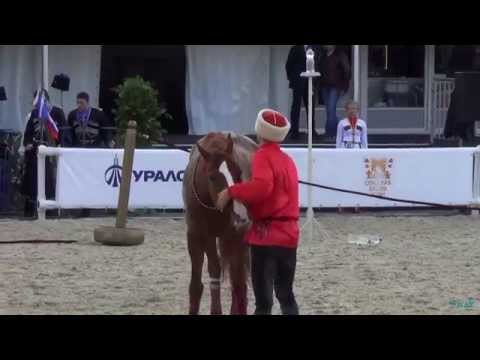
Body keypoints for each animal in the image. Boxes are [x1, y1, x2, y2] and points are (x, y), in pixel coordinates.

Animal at [183, 132, 258, 316]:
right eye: (212, 176)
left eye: (239, 172)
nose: (240, 214)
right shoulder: (196, 236)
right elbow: (199, 282)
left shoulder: (235, 236)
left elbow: (237, 282)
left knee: (239, 281)